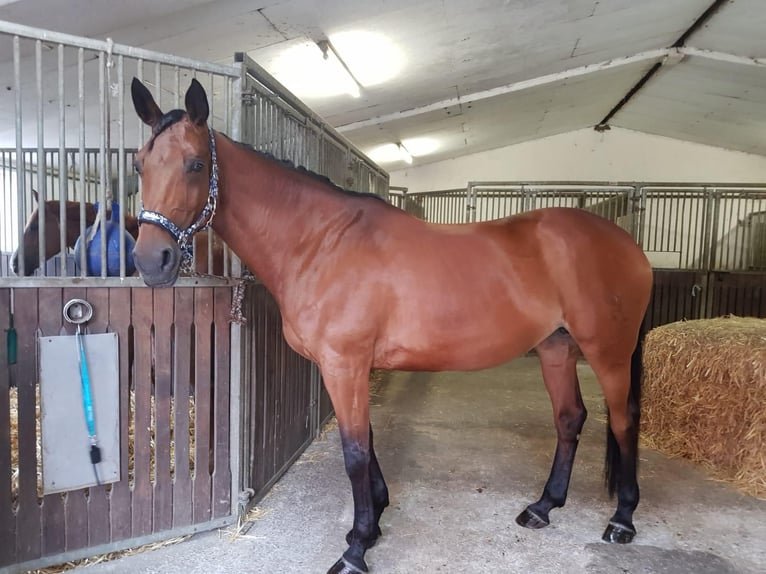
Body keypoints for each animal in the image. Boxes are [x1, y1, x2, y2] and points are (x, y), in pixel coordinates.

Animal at [130, 77, 656, 574]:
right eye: (139, 165)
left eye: (196, 164)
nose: (151, 261)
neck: (321, 242)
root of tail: (627, 244)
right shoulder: (348, 368)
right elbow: (367, 440)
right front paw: (374, 520)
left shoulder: (344, 365)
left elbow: (355, 452)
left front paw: (356, 548)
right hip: (556, 346)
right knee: (570, 418)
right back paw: (544, 506)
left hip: (608, 350)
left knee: (624, 419)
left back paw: (622, 520)